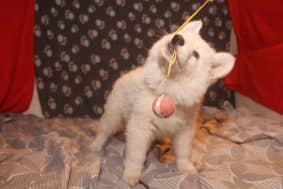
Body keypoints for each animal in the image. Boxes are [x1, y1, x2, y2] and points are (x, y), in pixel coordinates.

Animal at [92, 20, 235, 186]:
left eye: (196, 55)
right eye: (181, 35)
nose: (178, 38)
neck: (170, 88)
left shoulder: (184, 130)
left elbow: (184, 151)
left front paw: (186, 167)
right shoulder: (140, 128)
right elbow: (135, 155)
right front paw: (131, 174)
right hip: (114, 114)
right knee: (104, 131)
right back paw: (95, 146)